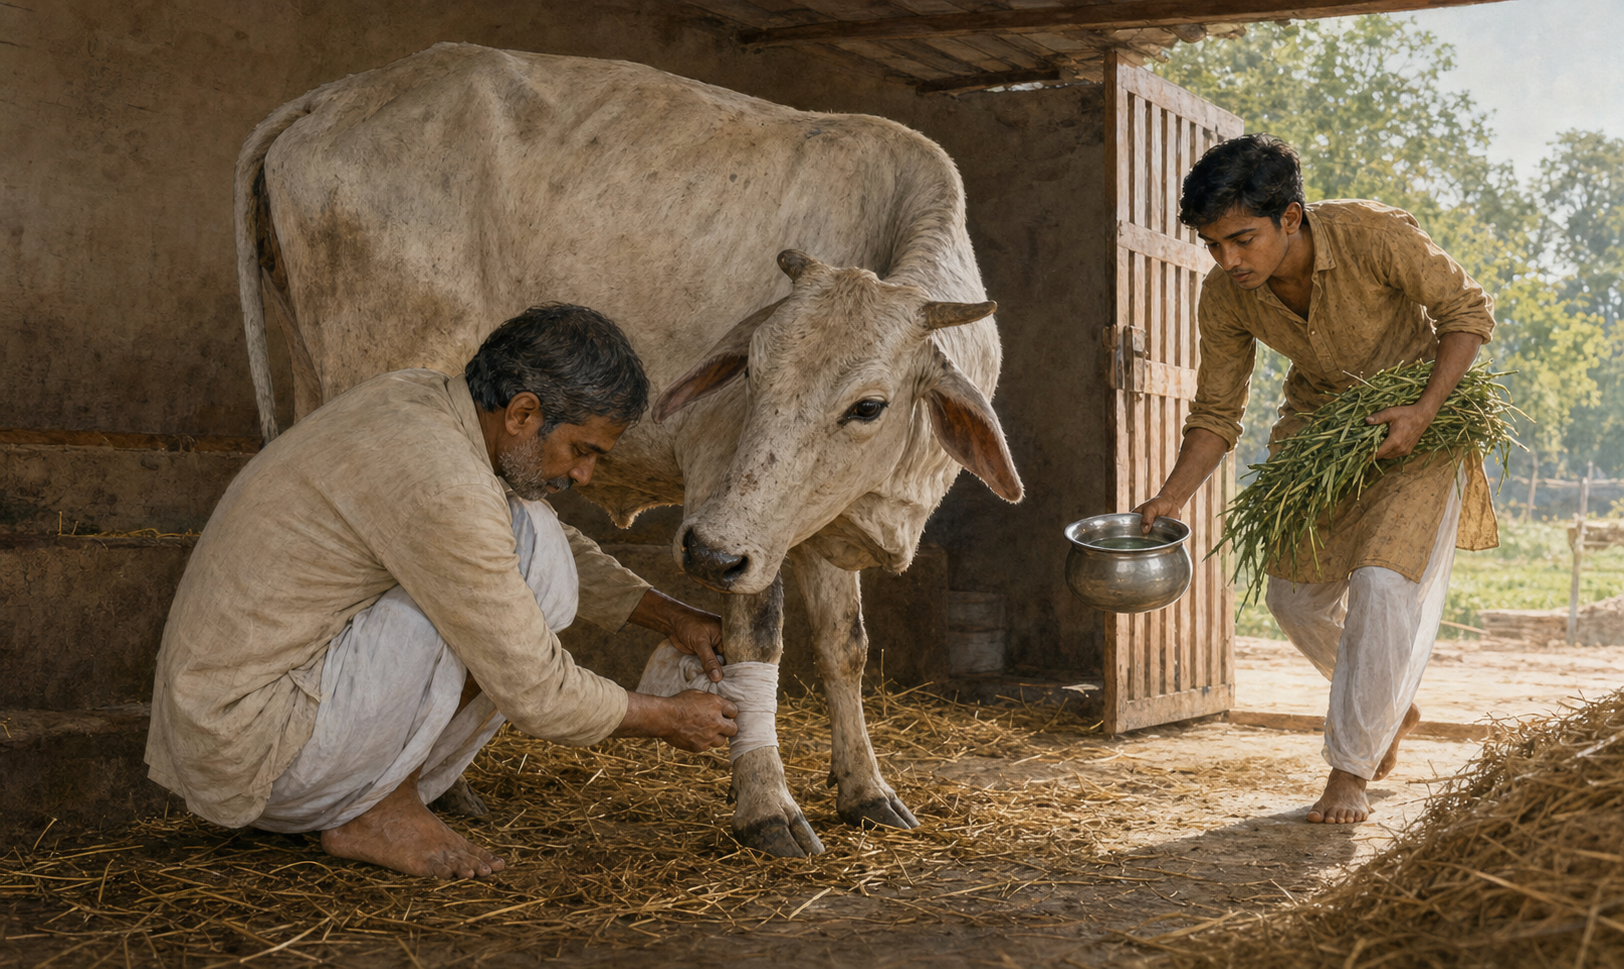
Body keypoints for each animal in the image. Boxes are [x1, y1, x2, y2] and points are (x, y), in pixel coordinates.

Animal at [235, 42, 1023, 857]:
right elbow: (758, 640)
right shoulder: (726, 498)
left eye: (868, 406)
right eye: (753, 371)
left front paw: (866, 789)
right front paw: (766, 805)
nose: (708, 552)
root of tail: (334, 97)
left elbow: (845, 646)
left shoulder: (810, 516)